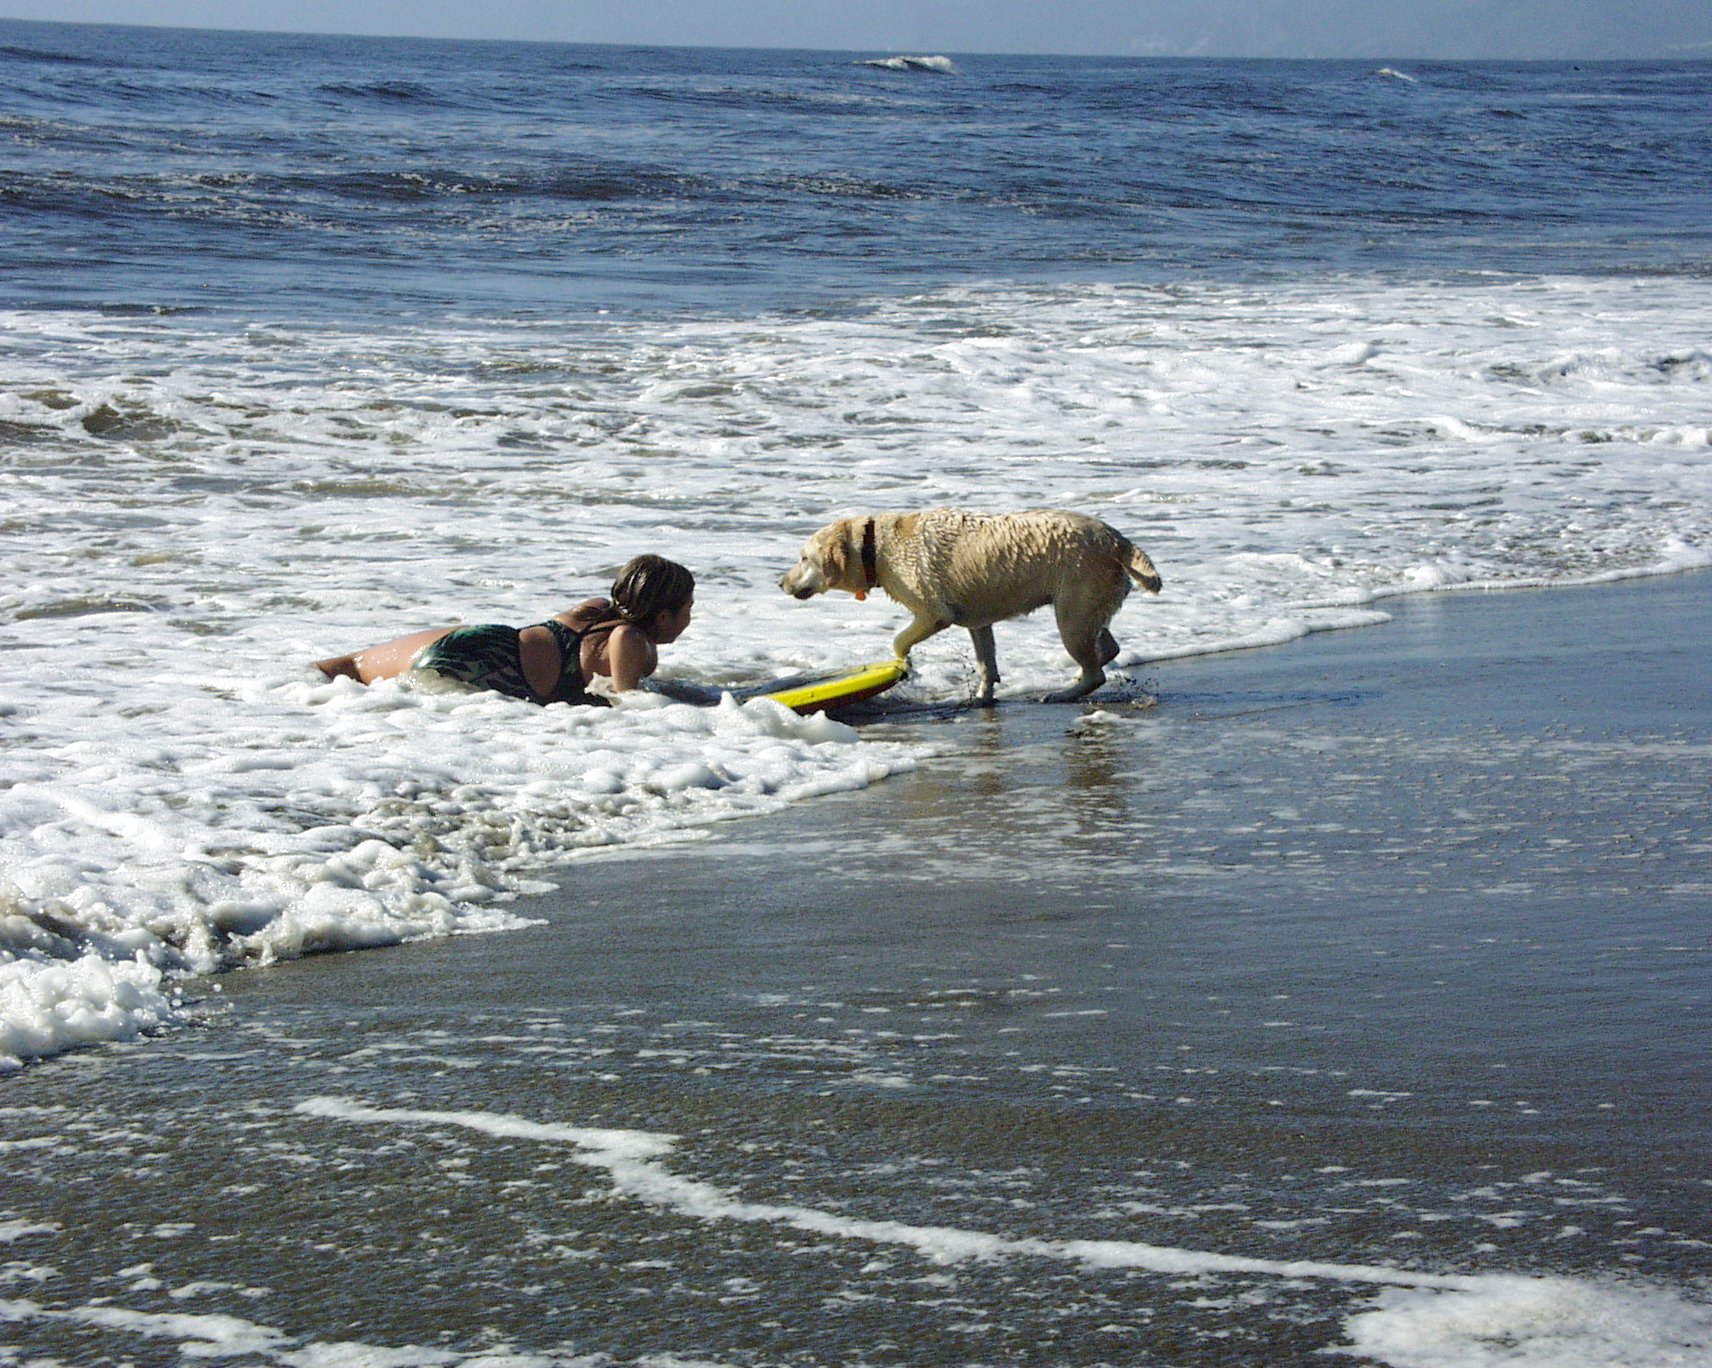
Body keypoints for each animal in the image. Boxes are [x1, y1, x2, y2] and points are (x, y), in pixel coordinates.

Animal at [780, 508, 1162, 703]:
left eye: (804, 558)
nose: (781, 583)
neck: (875, 546)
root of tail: (1117, 539)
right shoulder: (978, 621)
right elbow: (985, 661)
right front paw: (983, 694)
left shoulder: (934, 614)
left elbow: (899, 640)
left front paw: (903, 663)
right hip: (1087, 606)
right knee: (1108, 647)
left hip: (1071, 614)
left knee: (1097, 670)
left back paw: (1062, 693)